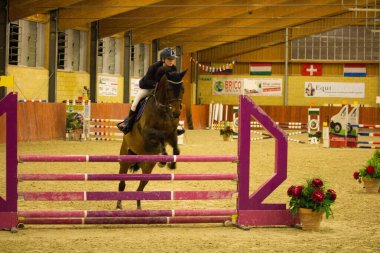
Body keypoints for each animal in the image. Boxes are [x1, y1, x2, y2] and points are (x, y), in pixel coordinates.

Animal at [116, 66, 186, 210]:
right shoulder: (147, 132)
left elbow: (176, 149)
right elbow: (160, 137)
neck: (164, 110)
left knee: (140, 188)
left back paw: (139, 207)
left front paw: (171, 164)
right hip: (125, 159)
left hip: (147, 168)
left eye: (183, 89)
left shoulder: (172, 134)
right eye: (168, 89)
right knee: (122, 183)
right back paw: (119, 204)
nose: (176, 113)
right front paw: (164, 157)